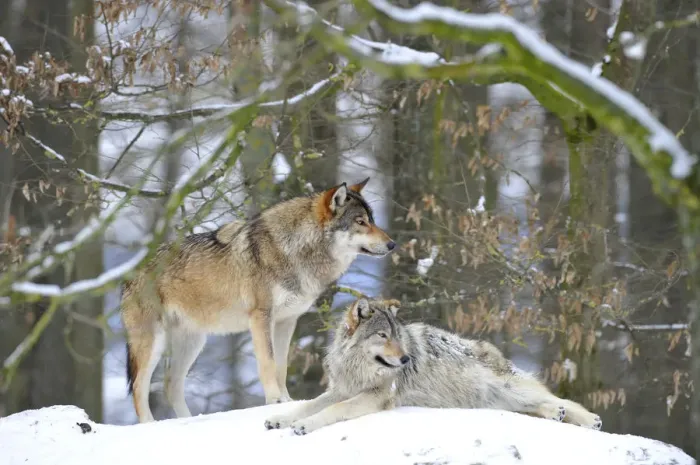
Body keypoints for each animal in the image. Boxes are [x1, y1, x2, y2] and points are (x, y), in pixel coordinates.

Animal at [120, 178, 395, 423]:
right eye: (360, 222)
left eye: (372, 220)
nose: (392, 244)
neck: (295, 250)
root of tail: (129, 271)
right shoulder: (261, 316)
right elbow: (268, 363)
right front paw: (274, 401)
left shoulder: (287, 321)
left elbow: (282, 366)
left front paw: (287, 401)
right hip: (153, 342)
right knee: (139, 388)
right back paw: (150, 424)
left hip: (193, 342)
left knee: (170, 383)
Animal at [264, 298, 602, 435]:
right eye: (383, 336)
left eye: (398, 336)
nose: (405, 359)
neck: (358, 368)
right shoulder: (341, 390)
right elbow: (306, 405)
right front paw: (280, 419)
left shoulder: (375, 397)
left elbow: (332, 411)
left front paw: (304, 426)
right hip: (496, 400)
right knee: (539, 407)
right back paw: (556, 415)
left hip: (510, 387)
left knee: (559, 399)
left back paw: (587, 419)